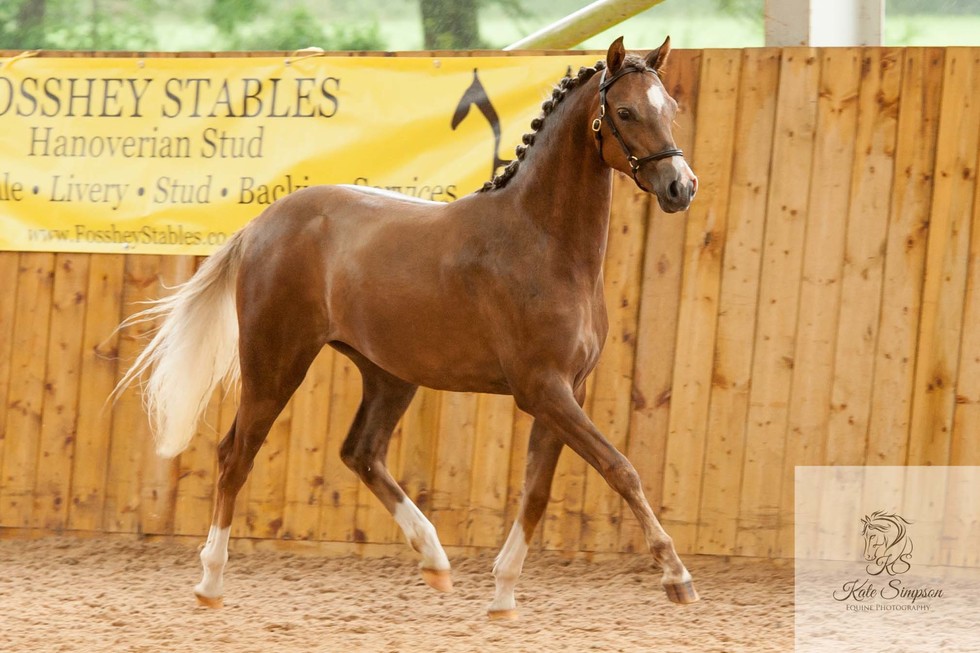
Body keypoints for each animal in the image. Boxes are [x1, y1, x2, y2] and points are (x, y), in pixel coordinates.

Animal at [115, 36, 699, 618]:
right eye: (625, 111)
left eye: (670, 107)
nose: (681, 187)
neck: (543, 244)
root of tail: (260, 224)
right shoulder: (543, 390)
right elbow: (620, 468)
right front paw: (677, 576)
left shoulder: (566, 391)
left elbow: (537, 492)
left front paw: (503, 595)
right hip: (275, 363)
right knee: (236, 454)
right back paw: (210, 582)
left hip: (387, 374)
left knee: (360, 452)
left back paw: (435, 560)